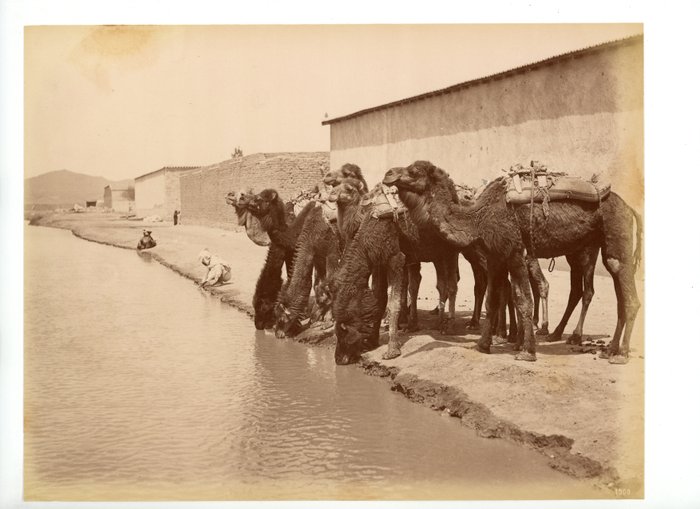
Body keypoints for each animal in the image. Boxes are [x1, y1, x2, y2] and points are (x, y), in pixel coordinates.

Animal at [386, 161, 644, 364]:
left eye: (414, 170)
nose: (388, 174)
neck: (478, 217)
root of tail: (629, 208)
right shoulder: (495, 257)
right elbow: (492, 300)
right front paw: (483, 344)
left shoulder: (515, 253)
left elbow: (523, 300)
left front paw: (527, 351)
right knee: (616, 288)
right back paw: (608, 349)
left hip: (613, 234)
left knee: (624, 291)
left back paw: (619, 354)